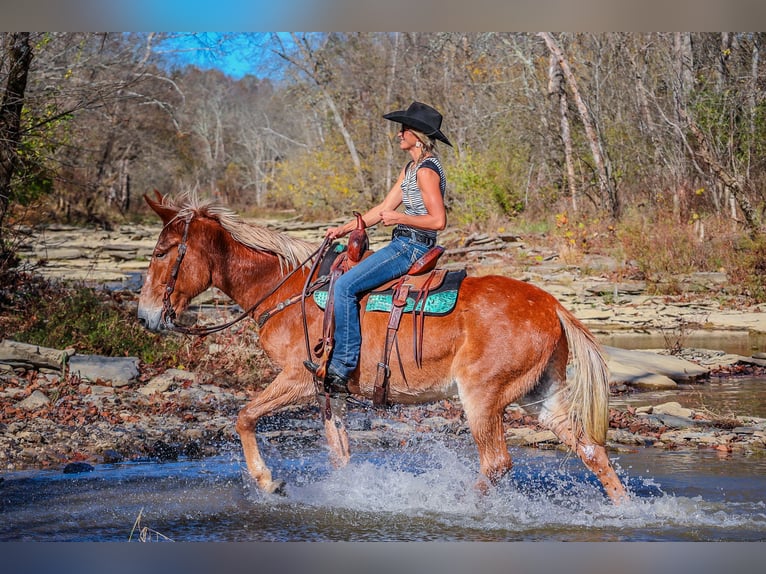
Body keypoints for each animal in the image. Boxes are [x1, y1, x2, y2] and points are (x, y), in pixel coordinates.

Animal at [137, 192, 629, 504]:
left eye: (162, 252)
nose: (145, 316)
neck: (287, 289)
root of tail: (553, 305)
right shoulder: (327, 391)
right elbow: (339, 453)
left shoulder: (297, 378)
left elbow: (243, 416)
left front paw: (267, 482)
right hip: (540, 398)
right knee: (591, 451)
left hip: (483, 397)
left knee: (496, 464)